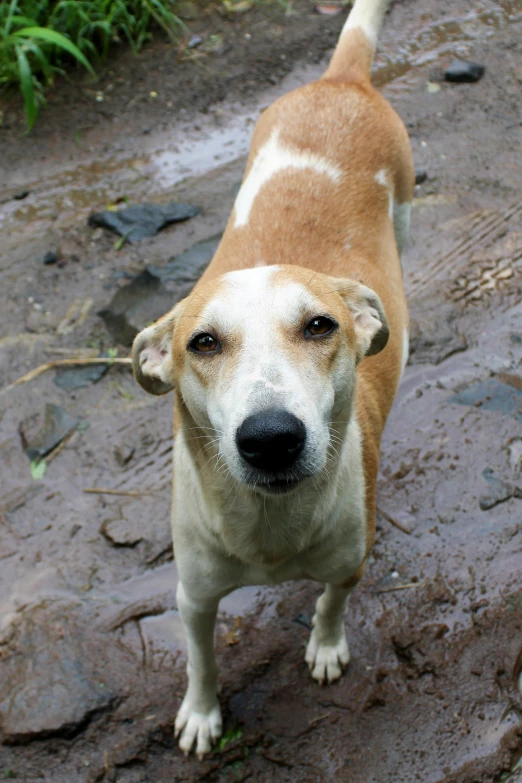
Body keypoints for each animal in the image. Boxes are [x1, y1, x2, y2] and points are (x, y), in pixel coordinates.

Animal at [132, 0, 412, 760]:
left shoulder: (350, 558)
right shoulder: (194, 592)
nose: (271, 438)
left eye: (320, 326)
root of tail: (339, 82)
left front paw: (325, 645)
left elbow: (332, 599)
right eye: (202, 343)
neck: (269, 527)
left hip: (406, 199)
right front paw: (202, 713)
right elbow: (201, 658)